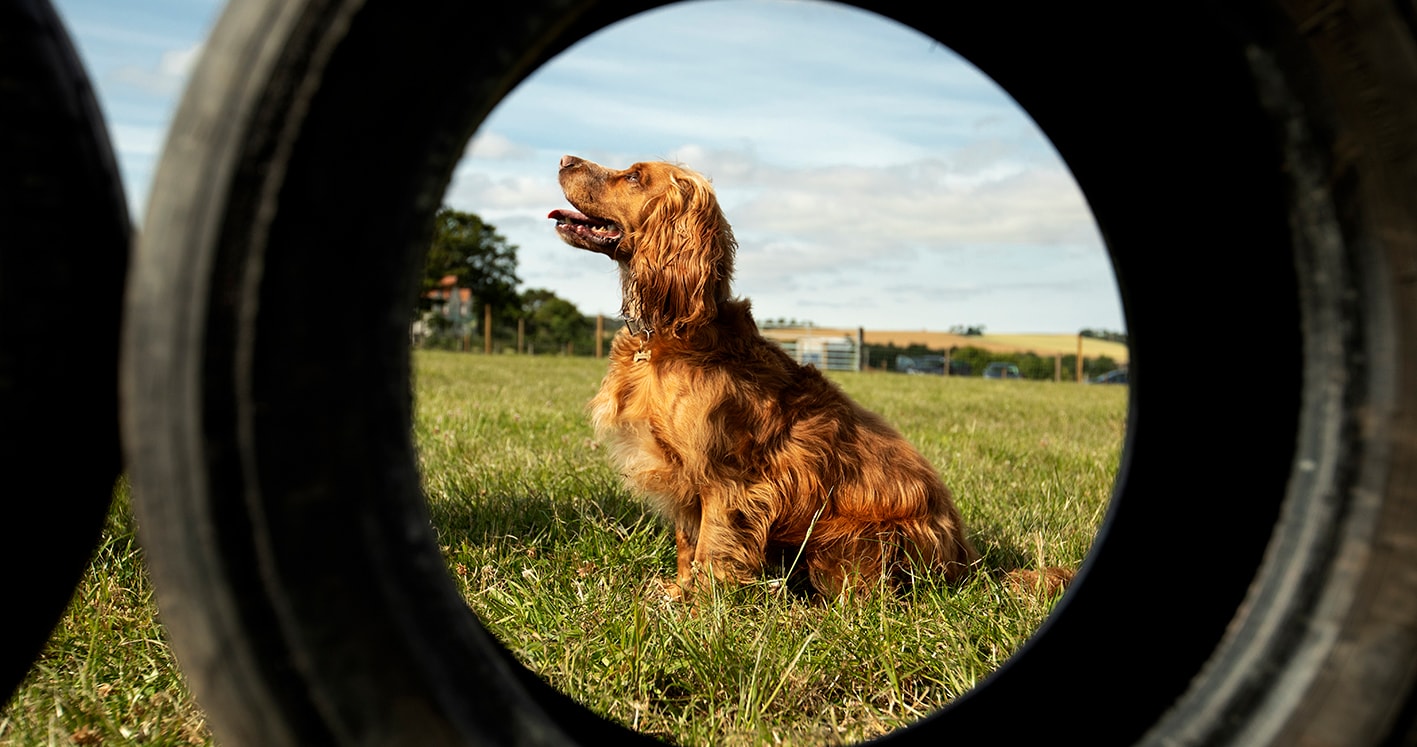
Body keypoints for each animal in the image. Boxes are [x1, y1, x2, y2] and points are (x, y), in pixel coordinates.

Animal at [546, 155, 1065, 598]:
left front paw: (701, 612)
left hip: (852, 541)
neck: (671, 333)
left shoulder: (726, 479)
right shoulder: (684, 476)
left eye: (634, 176)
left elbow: (713, 549)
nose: (564, 159)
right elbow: (686, 543)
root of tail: (968, 565)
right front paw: (677, 591)